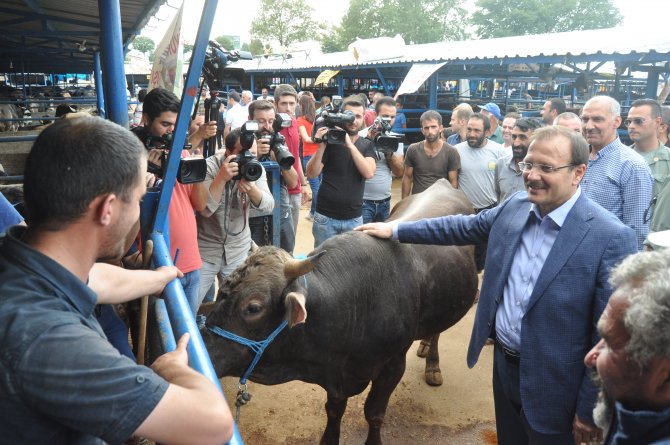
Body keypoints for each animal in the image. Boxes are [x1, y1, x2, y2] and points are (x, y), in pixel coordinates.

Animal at [202, 179, 480, 442]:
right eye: (222, 289)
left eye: (253, 307)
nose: (205, 353)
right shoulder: (336, 378)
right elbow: (334, 410)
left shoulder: (392, 365)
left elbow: (374, 413)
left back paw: (432, 364)